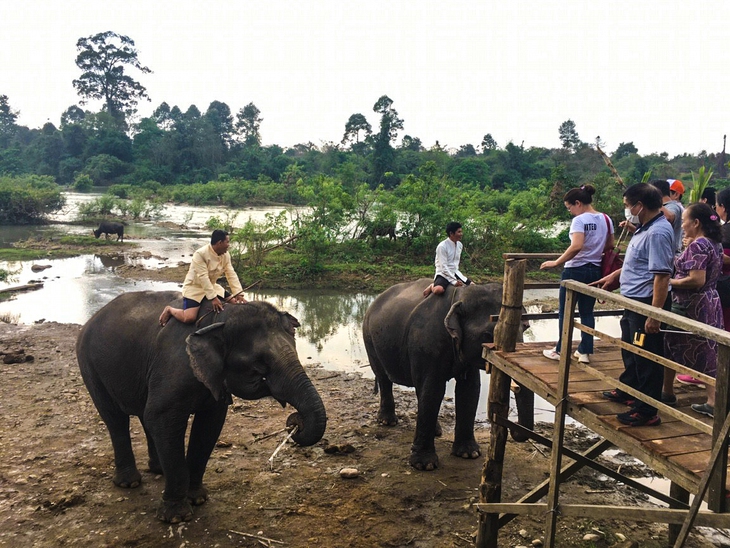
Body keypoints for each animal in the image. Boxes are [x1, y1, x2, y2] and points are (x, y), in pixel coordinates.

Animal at [76, 288, 324, 524]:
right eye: (259, 364)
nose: (295, 422)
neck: (220, 318)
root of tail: (93, 317)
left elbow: (208, 425)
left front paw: (198, 499)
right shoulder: (173, 367)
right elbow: (162, 417)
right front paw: (176, 516)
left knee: (144, 417)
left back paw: (158, 470)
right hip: (89, 364)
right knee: (115, 419)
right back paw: (129, 483)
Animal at [362, 278, 524, 470]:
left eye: (526, 327)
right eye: (487, 335)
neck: (459, 296)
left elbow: (469, 390)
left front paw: (469, 454)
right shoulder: (427, 342)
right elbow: (434, 390)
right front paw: (424, 465)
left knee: (418, 388)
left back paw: (436, 431)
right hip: (369, 338)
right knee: (384, 377)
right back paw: (387, 422)